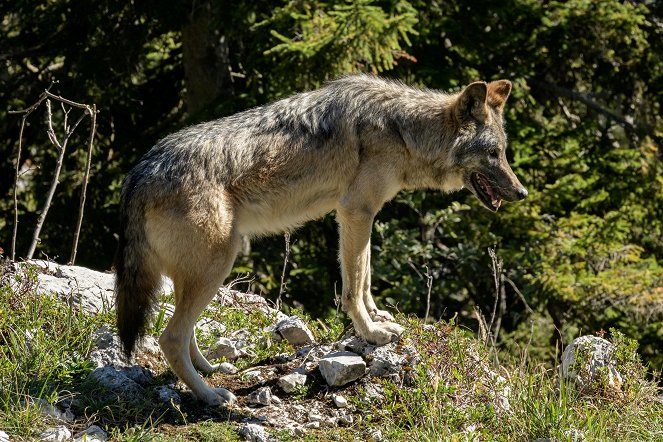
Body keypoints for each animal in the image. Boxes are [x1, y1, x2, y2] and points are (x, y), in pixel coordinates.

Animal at [114, 74, 528, 406]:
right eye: (494, 154)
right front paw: (372, 332)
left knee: (184, 331)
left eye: (504, 153)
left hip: (204, 273)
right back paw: (210, 396)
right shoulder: (355, 212)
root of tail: (139, 171)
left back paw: (211, 369)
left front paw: (378, 315)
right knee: (170, 338)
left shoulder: (361, 216)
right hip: (217, 264)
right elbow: (353, 286)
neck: (402, 129)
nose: (522, 193)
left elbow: (365, 277)